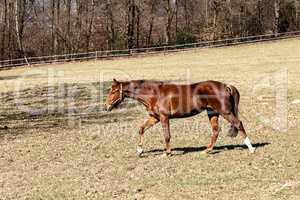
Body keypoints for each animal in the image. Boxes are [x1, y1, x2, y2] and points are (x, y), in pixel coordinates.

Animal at [105, 79, 255, 155]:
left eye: (113, 91)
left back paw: (251, 148)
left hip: (225, 112)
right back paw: (207, 150)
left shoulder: (164, 117)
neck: (154, 94)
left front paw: (168, 152)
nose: (106, 106)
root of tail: (225, 86)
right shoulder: (155, 118)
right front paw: (140, 150)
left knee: (238, 124)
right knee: (215, 131)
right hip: (212, 113)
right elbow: (141, 129)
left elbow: (167, 135)